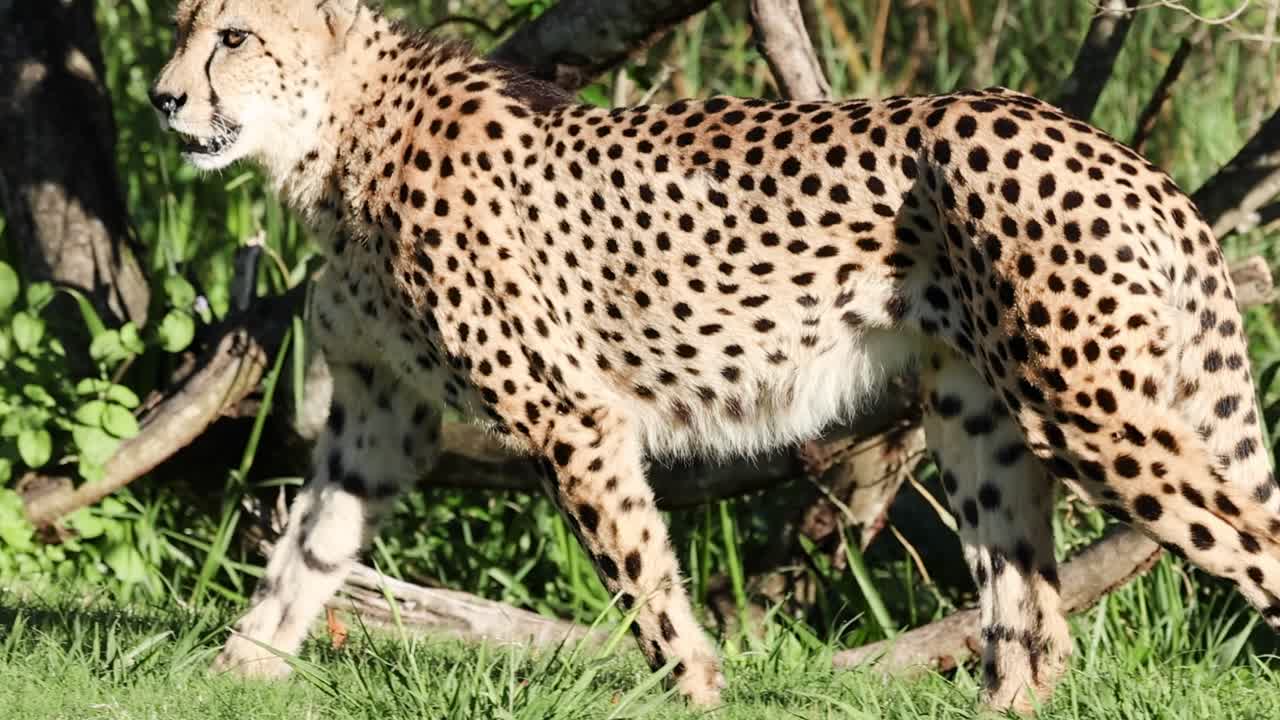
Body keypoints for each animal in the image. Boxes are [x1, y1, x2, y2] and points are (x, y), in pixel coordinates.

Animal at [150, 0, 1280, 712]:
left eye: (234, 37)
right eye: (180, 30)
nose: (162, 99)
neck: (335, 136)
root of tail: (1112, 147)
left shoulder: (570, 414)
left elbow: (640, 573)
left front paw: (694, 689)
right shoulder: (379, 413)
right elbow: (310, 550)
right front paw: (235, 672)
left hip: (1087, 410)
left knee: (1249, 540)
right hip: (978, 416)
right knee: (1031, 614)